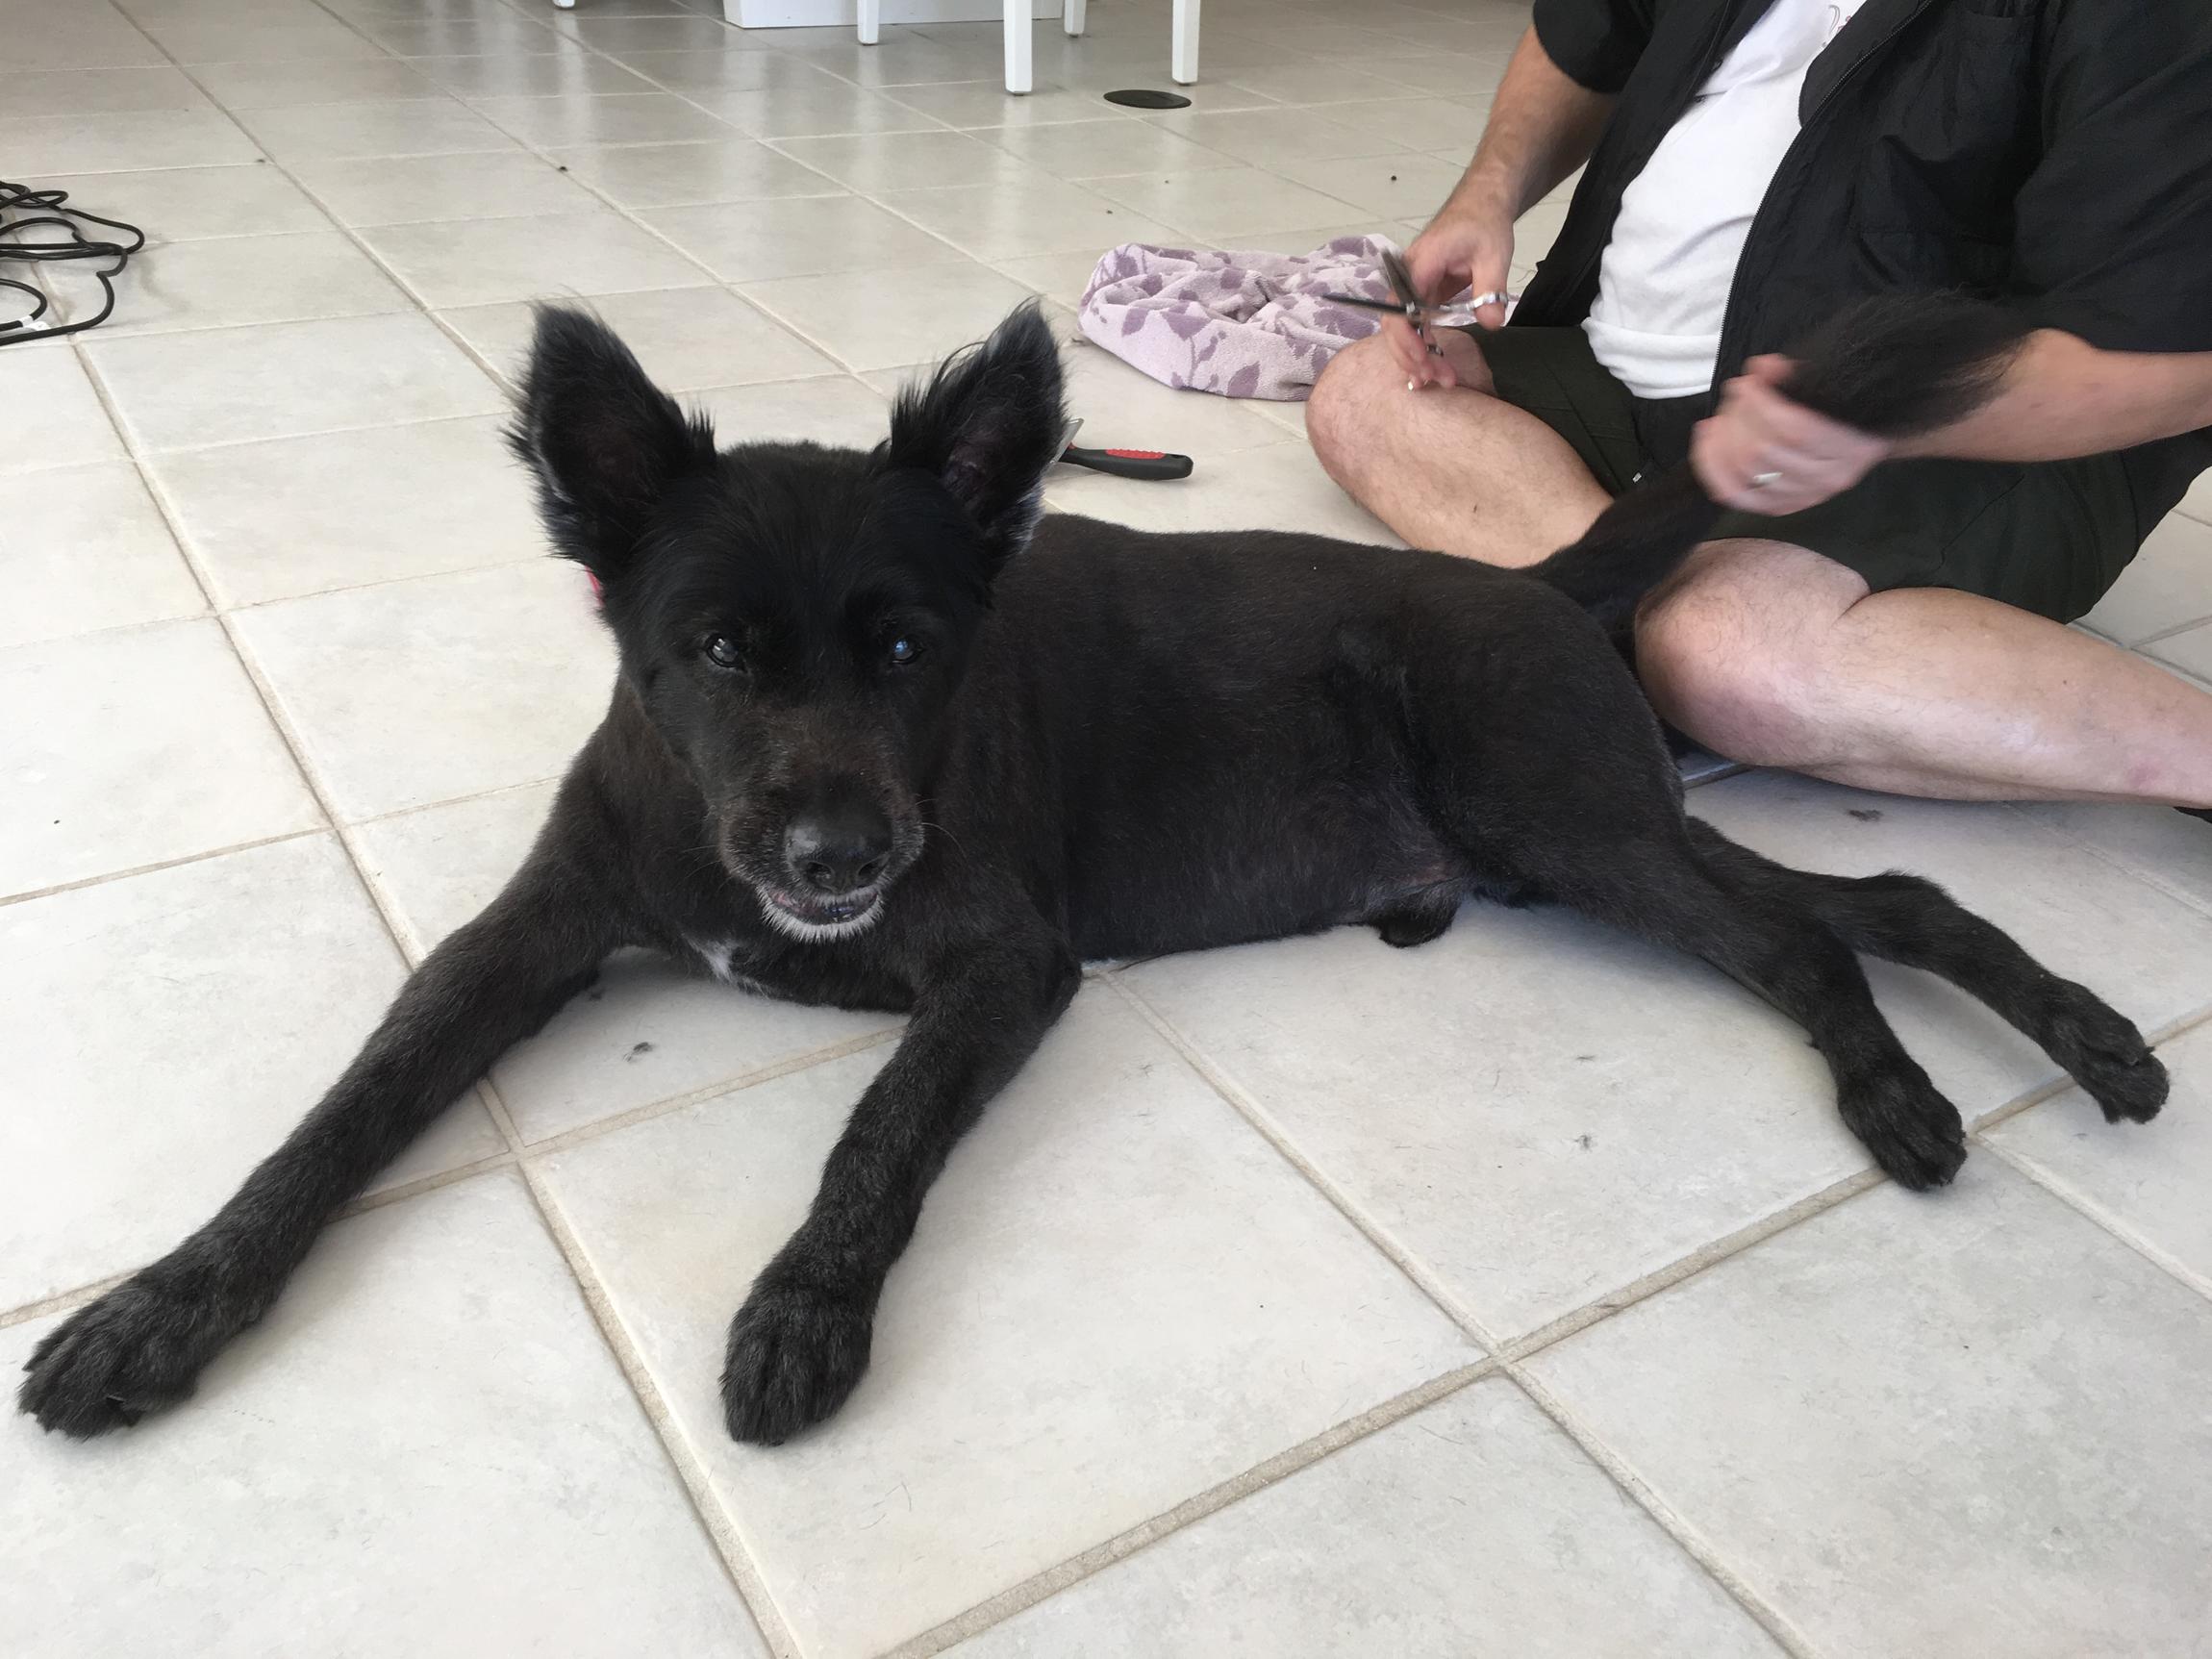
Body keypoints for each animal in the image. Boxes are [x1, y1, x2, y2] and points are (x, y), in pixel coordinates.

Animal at [20, 294, 2167, 1446]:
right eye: (712, 648)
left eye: (907, 645)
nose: (833, 852)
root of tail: (1540, 582)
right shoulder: (521, 939)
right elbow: (340, 1112)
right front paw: (160, 1305)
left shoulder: (999, 968)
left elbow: (875, 1130)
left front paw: (803, 1310)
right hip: (1585, 840)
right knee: (1880, 903)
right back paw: (2074, 1045)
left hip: (1567, 826)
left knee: (1820, 938)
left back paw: (1912, 1088)